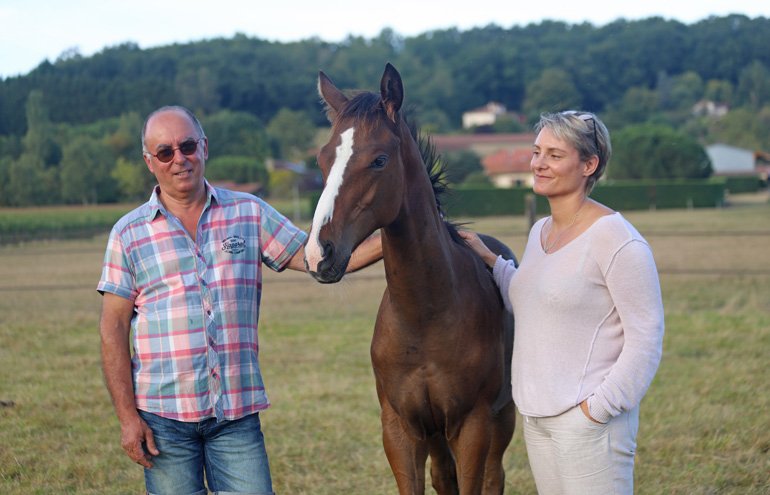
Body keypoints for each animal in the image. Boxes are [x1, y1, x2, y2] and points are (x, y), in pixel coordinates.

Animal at [304, 63, 517, 495]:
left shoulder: (472, 426)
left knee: (494, 476)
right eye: (321, 159)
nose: (319, 253)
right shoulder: (401, 429)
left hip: (501, 419)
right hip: (435, 435)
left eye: (379, 160)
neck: (425, 316)